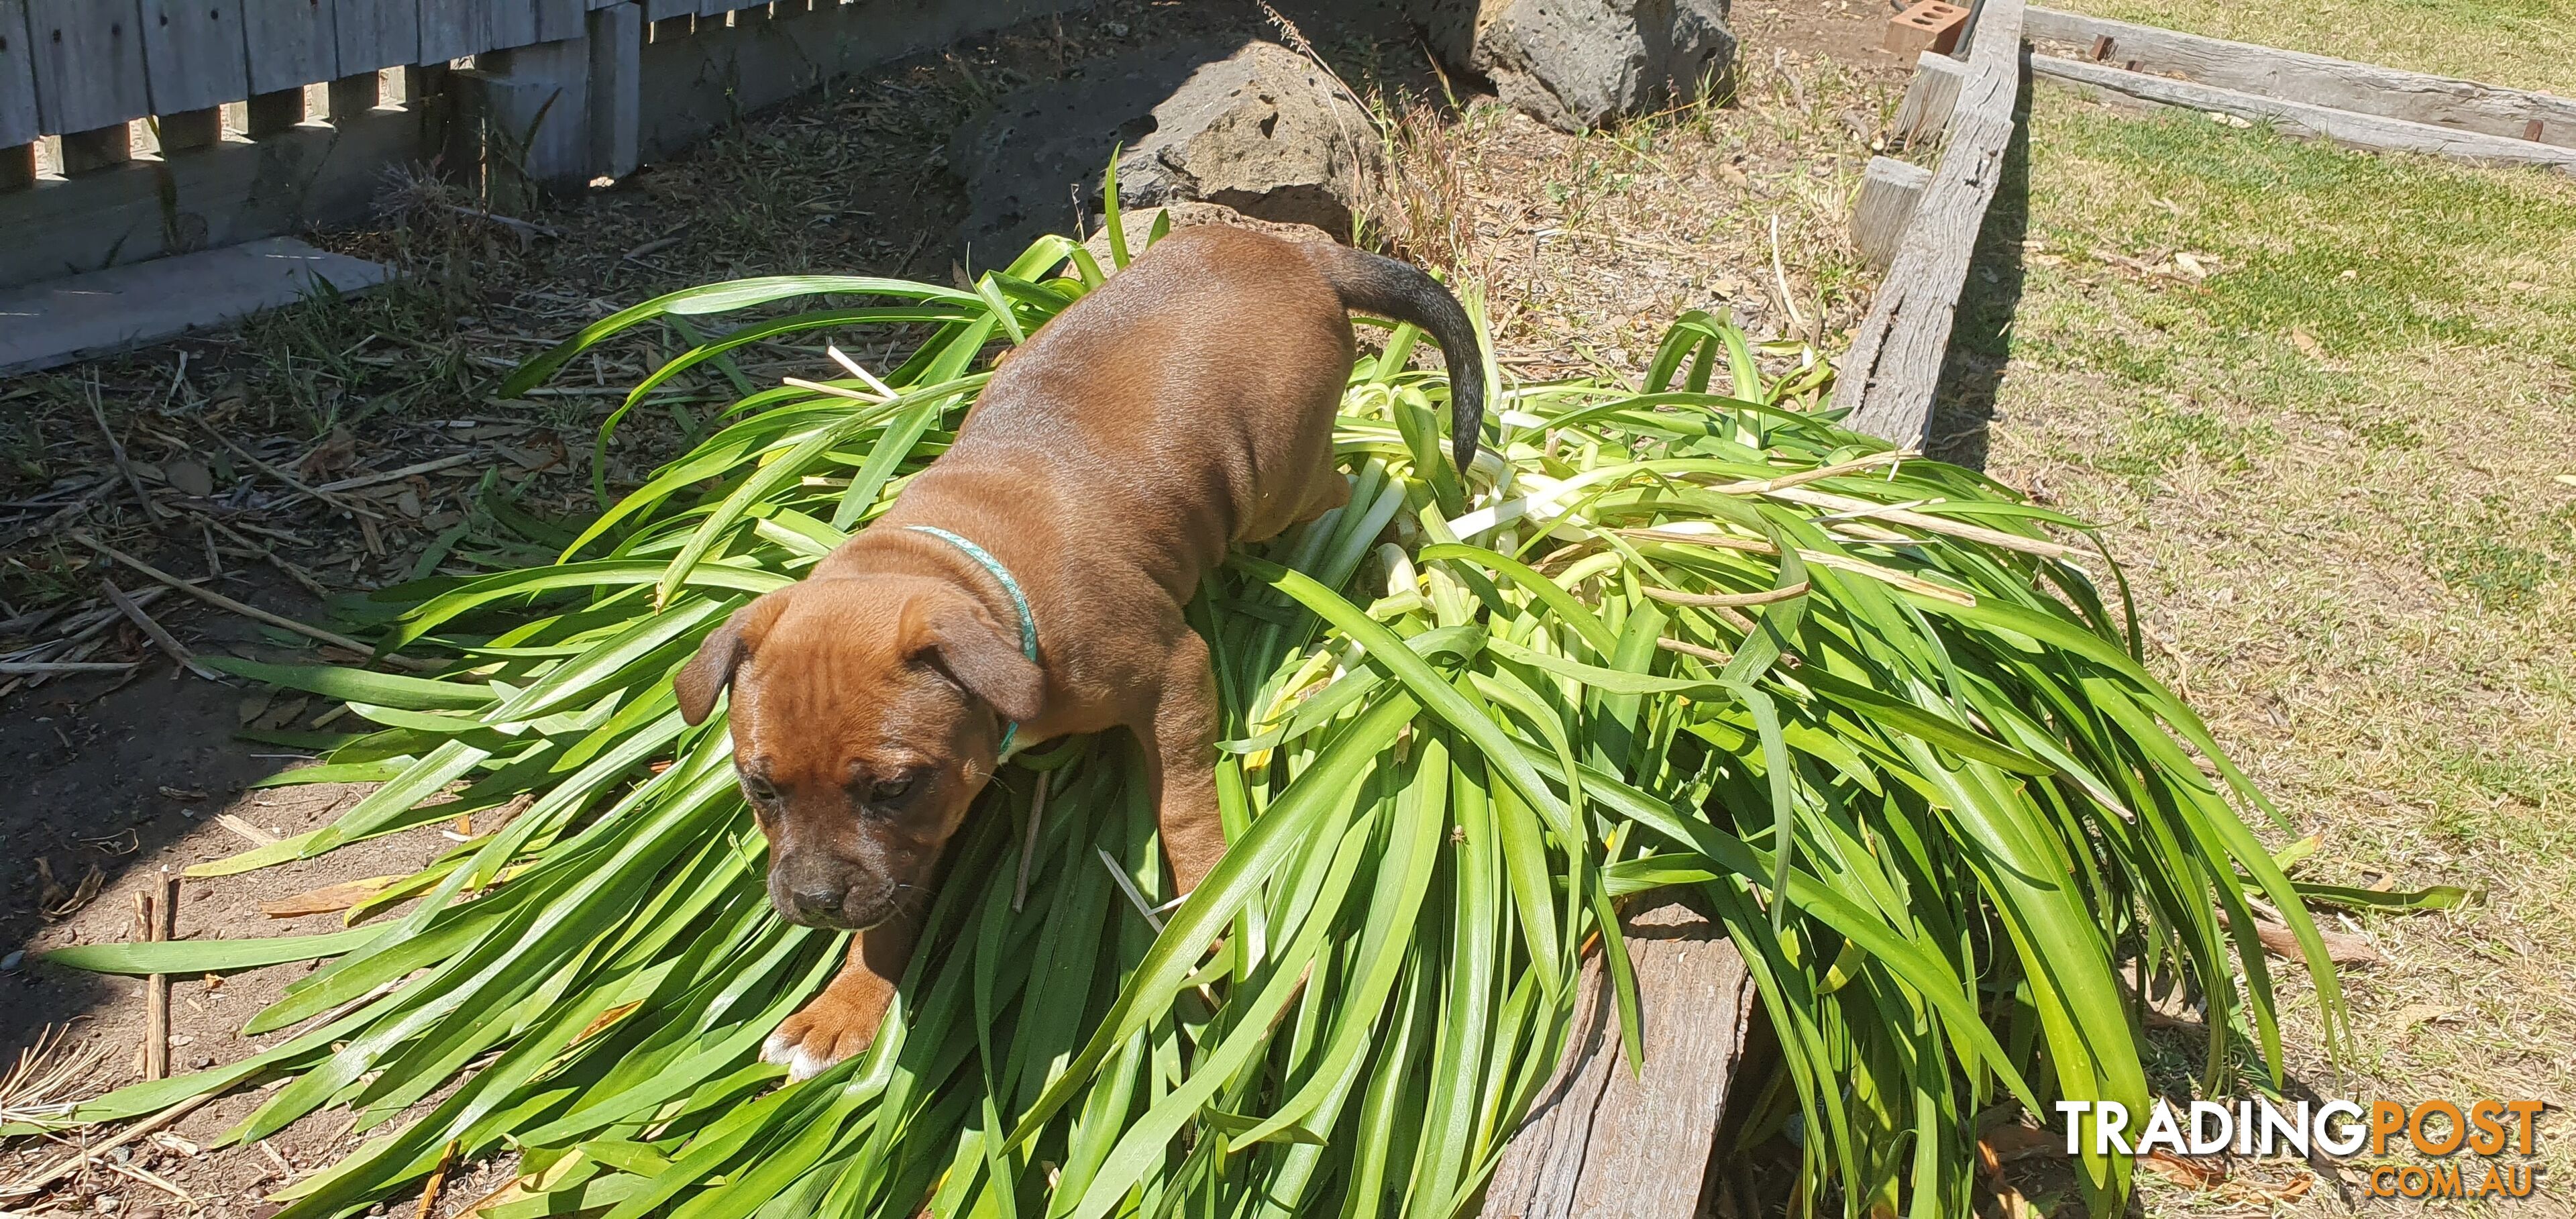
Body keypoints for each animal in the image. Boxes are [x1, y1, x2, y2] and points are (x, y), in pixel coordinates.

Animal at [675, 225, 1483, 1072]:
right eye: (759, 787)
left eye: (892, 787)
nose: (815, 901)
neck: (972, 573)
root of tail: (1299, 252)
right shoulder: (925, 824)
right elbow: (892, 903)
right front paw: (846, 1002)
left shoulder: (1173, 675)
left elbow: (1184, 808)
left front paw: (1214, 910)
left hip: (1276, 479)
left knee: (1344, 482)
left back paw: (1358, 537)